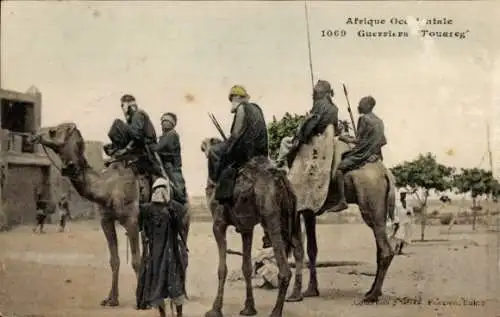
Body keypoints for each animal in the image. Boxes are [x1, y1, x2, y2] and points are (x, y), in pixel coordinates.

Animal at [30, 122, 191, 308]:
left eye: (53, 131)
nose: (34, 135)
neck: (108, 189)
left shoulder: (131, 220)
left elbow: (136, 261)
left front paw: (141, 301)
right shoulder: (106, 221)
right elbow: (114, 260)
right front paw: (111, 299)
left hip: (182, 221)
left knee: (182, 252)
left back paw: (182, 294)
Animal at [200, 138, 304, 317]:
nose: (203, 146)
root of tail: (282, 182)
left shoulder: (218, 224)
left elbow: (222, 269)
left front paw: (215, 309)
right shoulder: (246, 228)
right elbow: (247, 267)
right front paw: (249, 308)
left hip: (270, 216)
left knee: (284, 269)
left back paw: (276, 311)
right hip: (291, 216)